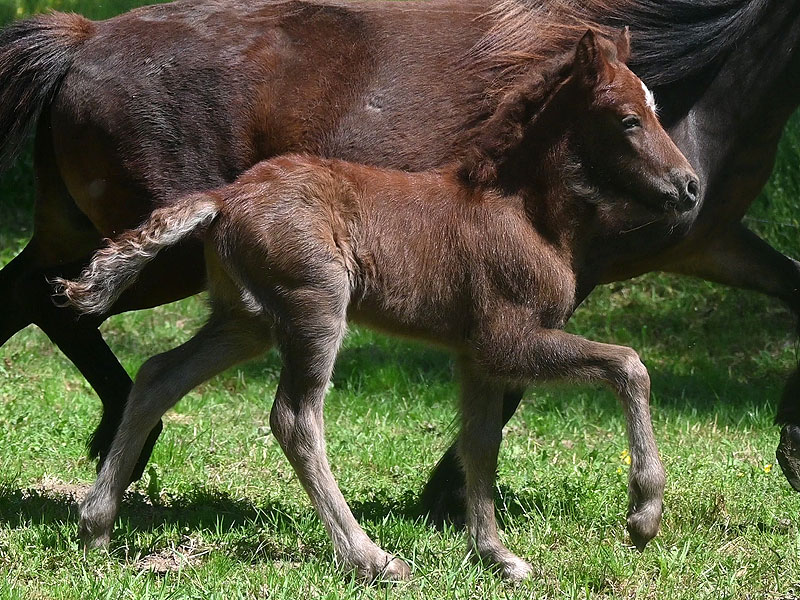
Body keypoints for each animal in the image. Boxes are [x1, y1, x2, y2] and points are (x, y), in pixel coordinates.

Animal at [0, 0, 799, 522]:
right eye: (631, 118)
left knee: (52, 303)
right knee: (62, 305)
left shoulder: (709, 244)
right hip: (183, 267)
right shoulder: (545, 303)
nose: (687, 188)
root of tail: (84, 36)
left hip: (142, 262)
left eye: (660, 111)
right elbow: (593, 371)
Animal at [55, 29, 698, 581]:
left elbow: (480, 445)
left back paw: (95, 527)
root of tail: (224, 197)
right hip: (316, 304)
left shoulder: (477, 356)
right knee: (294, 418)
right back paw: (369, 556)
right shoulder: (507, 338)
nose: (689, 186)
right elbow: (628, 364)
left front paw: (495, 555)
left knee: (159, 374)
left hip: (246, 319)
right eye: (629, 119)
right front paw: (643, 516)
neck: (524, 212)